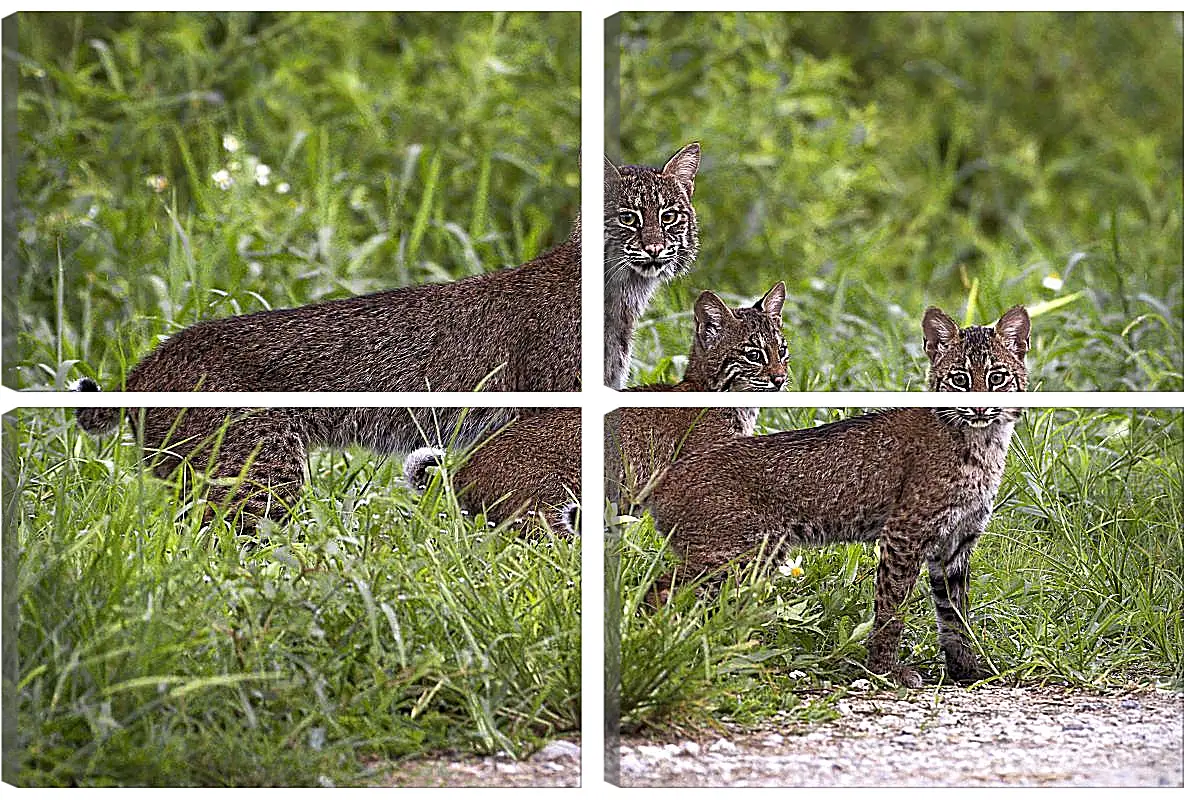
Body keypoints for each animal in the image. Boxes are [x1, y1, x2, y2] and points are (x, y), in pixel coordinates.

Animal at [644, 302, 1032, 686]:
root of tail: (669, 475)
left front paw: (967, 671)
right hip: (736, 554)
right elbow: (892, 608)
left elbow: (955, 616)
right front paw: (885, 669)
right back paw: (664, 649)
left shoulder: (957, 542)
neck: (984, 441)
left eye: (997, 378)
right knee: (658, 589)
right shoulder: (904, 533)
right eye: (959, 379)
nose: (979, 408)